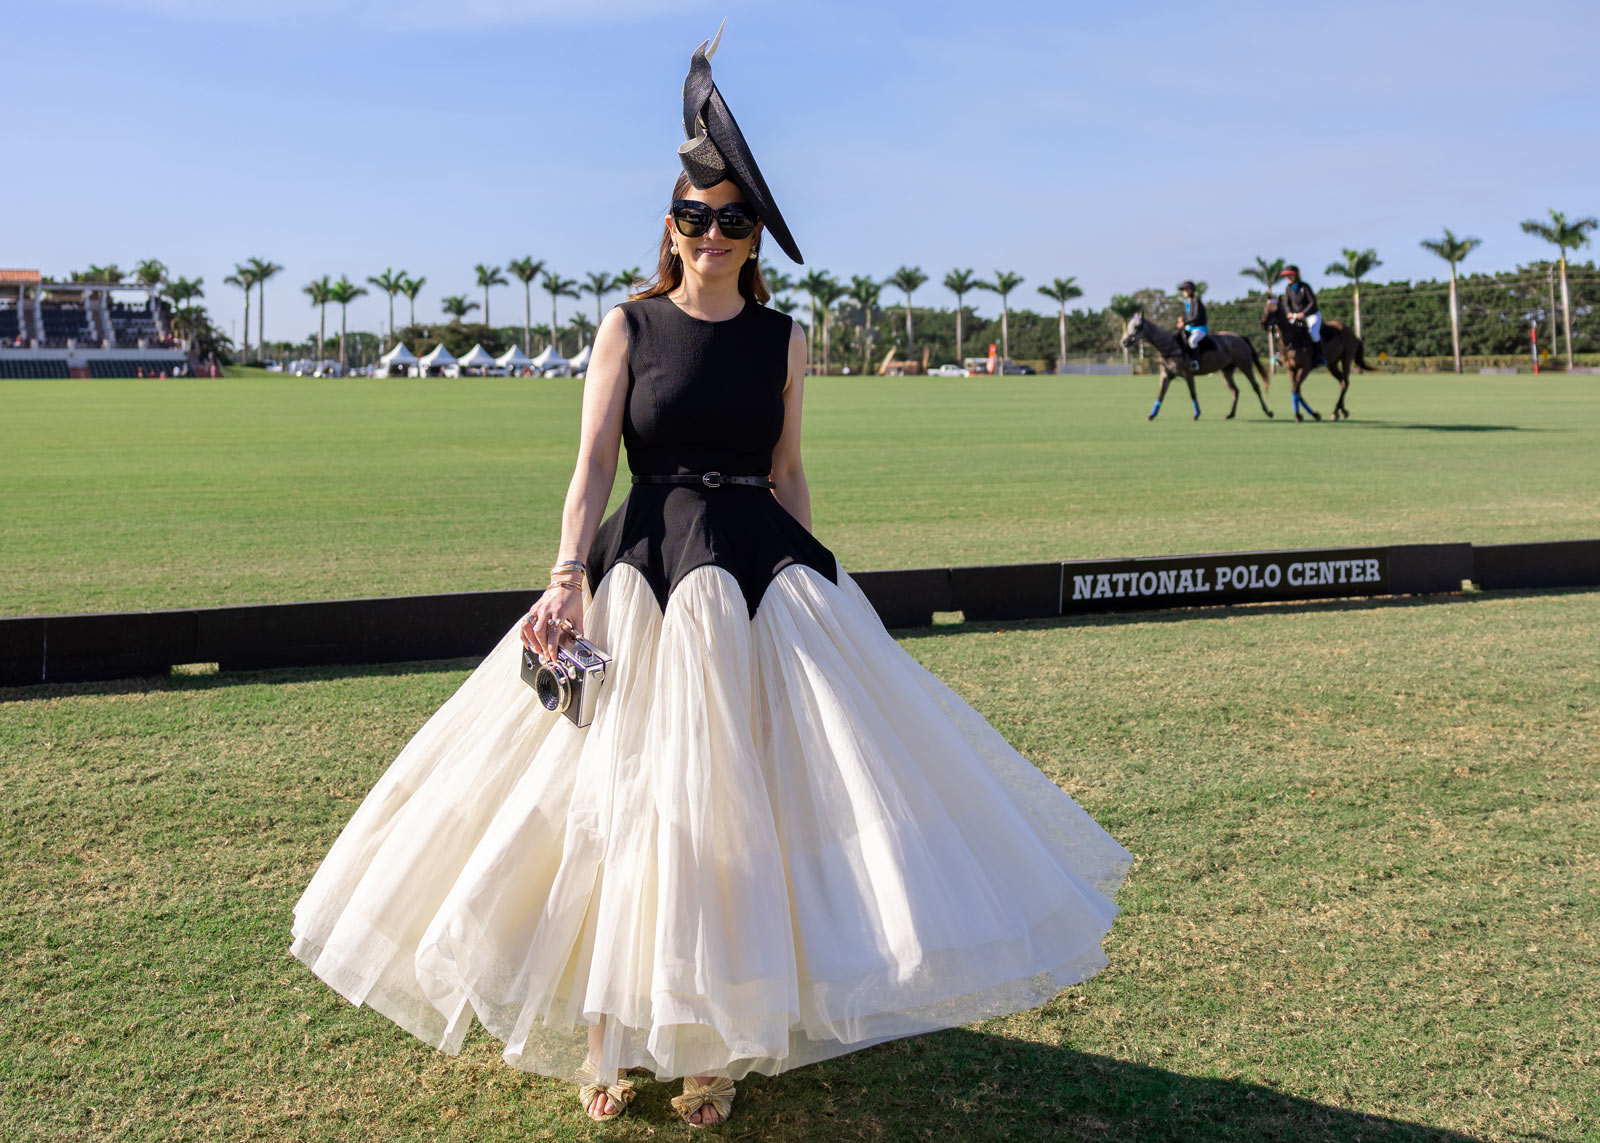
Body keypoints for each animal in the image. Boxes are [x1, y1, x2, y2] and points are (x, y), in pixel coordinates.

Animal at [1126, 312, 1273, 419]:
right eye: (1128, 326)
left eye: (1136, 327)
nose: (1124, 342)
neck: (1170, 346)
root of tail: (1240, 337)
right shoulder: (1166, 375)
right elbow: (1161, 394)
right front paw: (1152, 414)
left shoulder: (1188, 374)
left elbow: (1192, 393)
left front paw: (1197, 414)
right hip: (1226, 371)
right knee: (1235, 390)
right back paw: (1231, 414)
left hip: (1245, 365)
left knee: (1255, 387)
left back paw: (1268, 412)